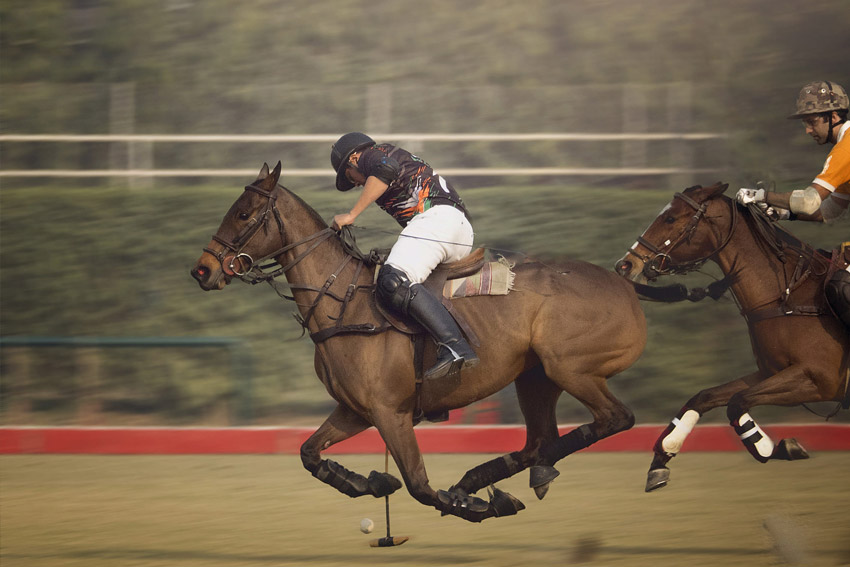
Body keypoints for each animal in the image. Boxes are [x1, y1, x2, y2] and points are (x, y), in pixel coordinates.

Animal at [190, 162, 644, 520]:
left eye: (243, 214)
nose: (202, 271)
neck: (344, 303)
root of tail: (624, 286)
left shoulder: (391, 412)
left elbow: (420, 486)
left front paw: (477, 506)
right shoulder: (356, 410)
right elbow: (309, 453)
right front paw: (368, 481)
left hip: (570, 367)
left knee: (614, 419)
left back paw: (489, 483)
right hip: (535, 377)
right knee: (537, 441)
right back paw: (488, 477)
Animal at [612, 183, 844, 492]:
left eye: (671, 218)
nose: (625, 265)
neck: (787, 297)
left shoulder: (819, 379)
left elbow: (737, 401)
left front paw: (775, 448)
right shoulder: (772, 371)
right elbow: (707, 397)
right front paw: (660, 460)